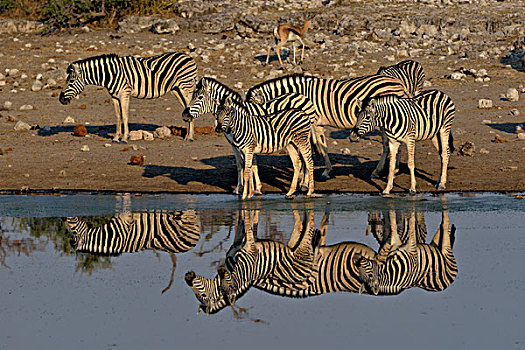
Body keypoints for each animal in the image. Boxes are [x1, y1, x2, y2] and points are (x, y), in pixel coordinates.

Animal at [57, 51, 196, 141]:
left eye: (70, 81)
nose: (61, 99)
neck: (111, 74)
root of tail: (189, 57)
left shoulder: (124, 94)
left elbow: (124, 116)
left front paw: (124, 138)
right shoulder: (114, 96)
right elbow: (118, 116)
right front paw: (116, 137)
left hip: (186, 88)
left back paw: (190, 137)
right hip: (177, 89)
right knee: (187, 108)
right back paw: (187, 135)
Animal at [246, 73, 414, 178]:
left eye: (254, 111)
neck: (299, 95)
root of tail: (400, 83)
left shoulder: (312, 122)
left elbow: (318, 145)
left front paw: (319, 172)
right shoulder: (314, 124)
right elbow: (320, 145)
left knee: (387, 145)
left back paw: (378, 171)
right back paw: (395, 169)